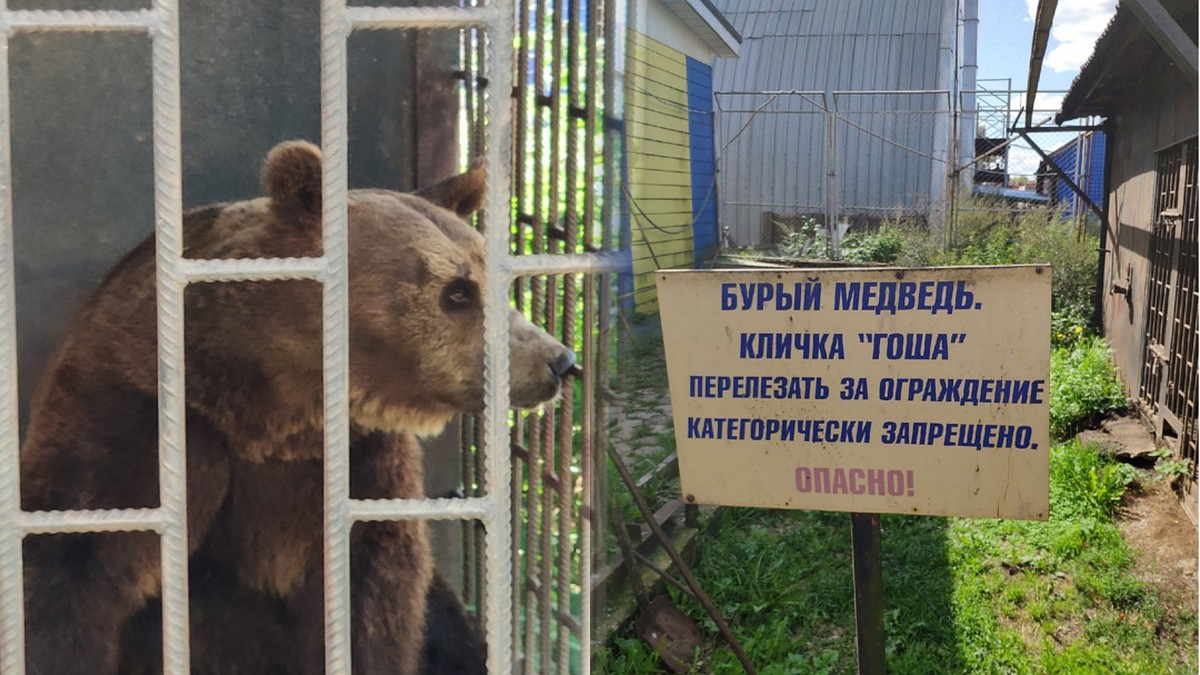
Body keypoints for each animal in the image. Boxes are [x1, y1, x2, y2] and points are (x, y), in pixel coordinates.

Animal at [19, 139, 576, 667]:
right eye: (457, 292)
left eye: (497, 282)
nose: (559, 360)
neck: (274, 404)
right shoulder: (137, 416)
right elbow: (72, 561)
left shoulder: (359, 461)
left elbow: (375, 593)